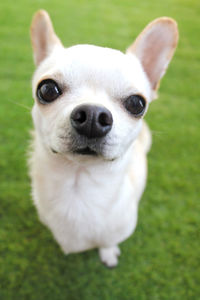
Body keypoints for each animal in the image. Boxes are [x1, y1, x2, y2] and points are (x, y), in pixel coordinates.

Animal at [29, 9, 178, 268]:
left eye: (137, 103)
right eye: (47, 89)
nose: (92, 115)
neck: (78, 187)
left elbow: (108, 243)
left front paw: (108, 254)